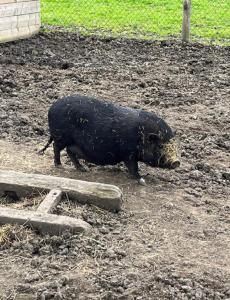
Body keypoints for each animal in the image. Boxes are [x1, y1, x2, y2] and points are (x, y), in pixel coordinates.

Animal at [39, 95, 180, 184]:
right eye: (161, 145)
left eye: (173, 144)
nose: (176, 162)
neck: (141, 136)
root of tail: (51, 108)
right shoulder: (128, 153)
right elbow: (133, 167)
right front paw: (141, 179)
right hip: (61, 136)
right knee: (56, 147)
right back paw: (59, 165)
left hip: (72, 142)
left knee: (69, 151)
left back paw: (83, 169)